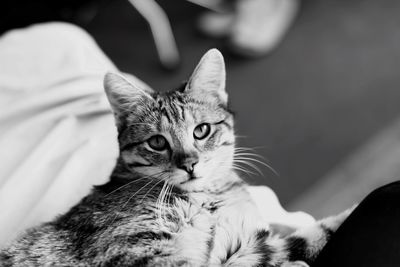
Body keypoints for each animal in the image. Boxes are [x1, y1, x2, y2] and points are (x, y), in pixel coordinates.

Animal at [0, 49, 354, 266]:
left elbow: (309, 236)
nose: (190, 164)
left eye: (201, 131)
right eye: (157, 142)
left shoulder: (247, 245)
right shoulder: (141, 252)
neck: (207, 200)